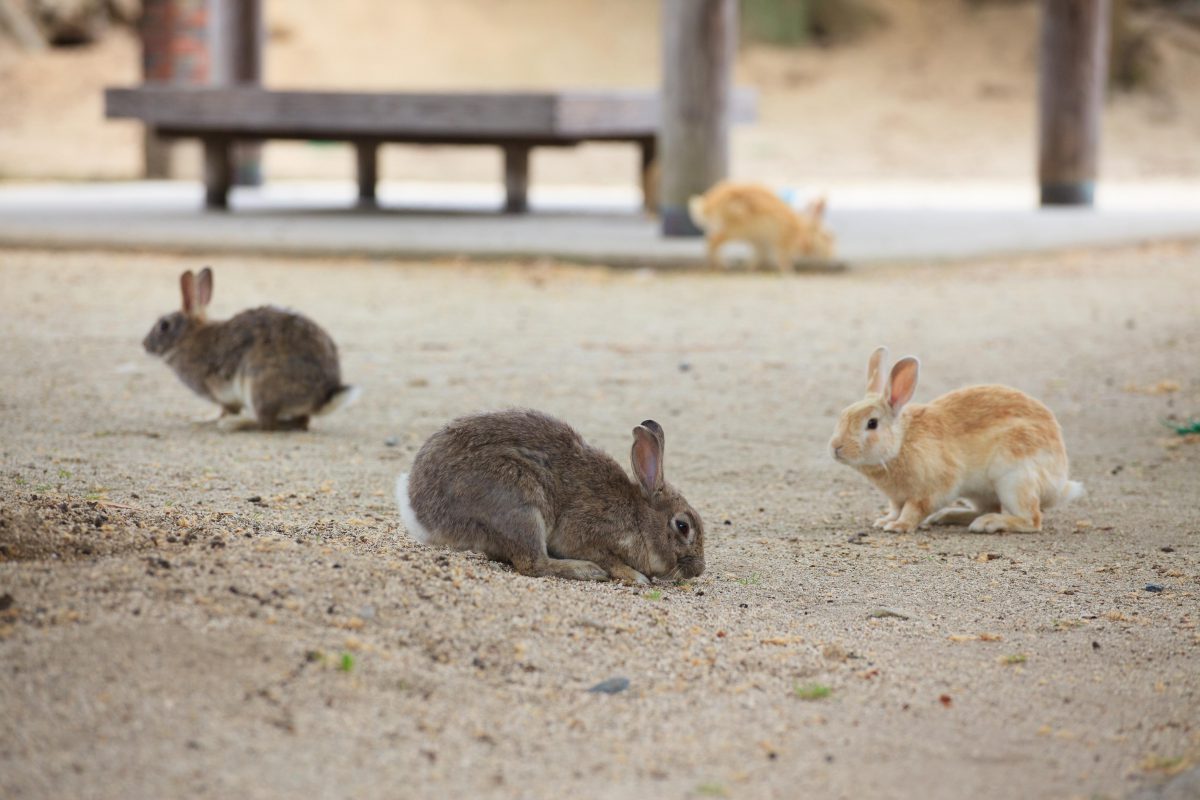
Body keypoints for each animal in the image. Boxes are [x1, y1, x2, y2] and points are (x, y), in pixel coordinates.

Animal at [143, 267, 357, 431]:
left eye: (164, 325)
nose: (144, 344)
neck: (187, 338)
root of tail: (322, 397)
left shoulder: (220, 393)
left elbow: (224, 410)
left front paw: (206, 419)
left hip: (259, 387)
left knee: (267, 423)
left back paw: (235, 424)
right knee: (300, 422)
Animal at [398, 410, 705, 585]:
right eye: (682, 526)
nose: (699, 570)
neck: (639, 517)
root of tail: (423, 516)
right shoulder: (585, 534)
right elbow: (609, 560)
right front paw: (636, 577)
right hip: (521, 502)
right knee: (533, 563)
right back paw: (587, 571)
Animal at [686, 181, 835, 268]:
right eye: (827, 237)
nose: (830, 256)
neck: (802, 233)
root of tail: (708, 206)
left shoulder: (760, 242)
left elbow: (759, 256)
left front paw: (751, 267)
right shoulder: (781, 244)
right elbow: (782, 260)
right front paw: (787, 270)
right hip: (735, 229)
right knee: (713, 242)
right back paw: (724, 264)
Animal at [830, 347, 1084, 534]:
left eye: (872, 423)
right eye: (843, 415)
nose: (836, 448)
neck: (901, 442)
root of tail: (1058, 480)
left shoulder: (931, 489)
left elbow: (913, 509)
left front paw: (898, 526)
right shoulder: (896, 498)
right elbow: (895, 508)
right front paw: (884, 521)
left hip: (1014, 478)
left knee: (1031, 519)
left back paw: (987, 524)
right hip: (982, 490)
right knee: (987, 508)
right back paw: (948, 516)